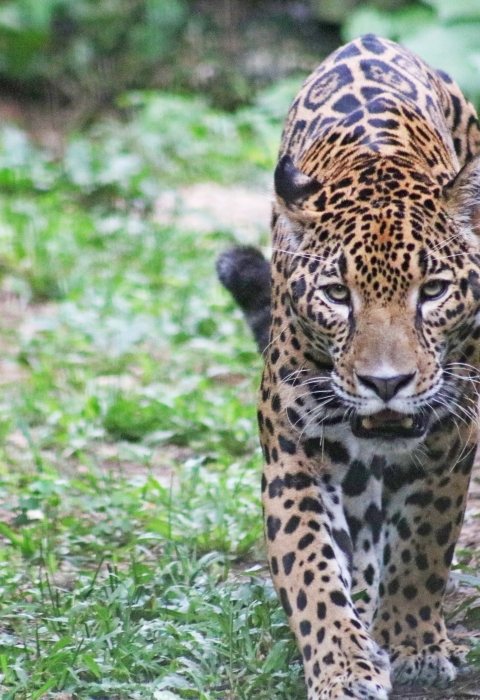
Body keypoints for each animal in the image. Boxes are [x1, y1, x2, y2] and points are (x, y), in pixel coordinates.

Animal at [217, 34, 480, 700]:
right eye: (338, 295)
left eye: (433, 290)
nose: (386, 384)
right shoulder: (294, 455)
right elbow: (310, 569)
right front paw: (343, 666)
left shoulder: (450, 438)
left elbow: (423, 546)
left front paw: (413, 645)